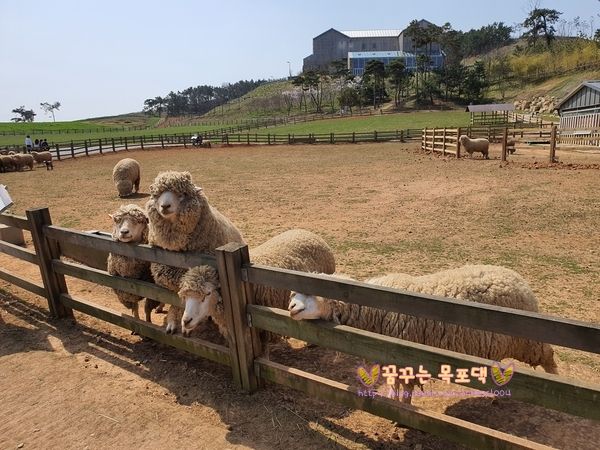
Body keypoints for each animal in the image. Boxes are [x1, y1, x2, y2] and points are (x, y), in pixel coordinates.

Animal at [286, 262, 556, 402]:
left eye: (314, 293)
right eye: (295, 291)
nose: (291, 307)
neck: (375, 306)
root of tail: (517, 278)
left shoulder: (408, 357)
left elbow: (406, 390)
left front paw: (402, 411)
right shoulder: (391, 357)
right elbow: (394, 384)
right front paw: (392, 400)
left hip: (530, 342)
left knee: (549, 359)